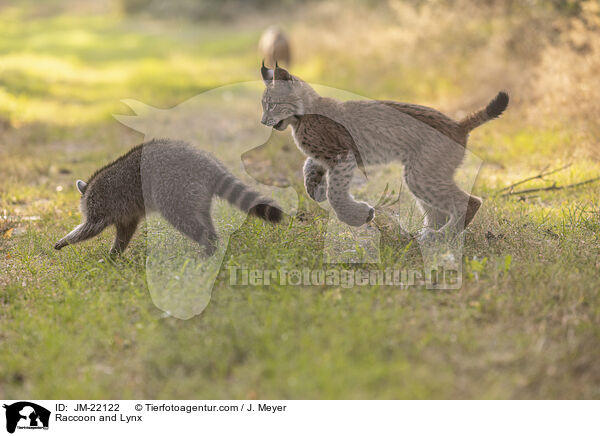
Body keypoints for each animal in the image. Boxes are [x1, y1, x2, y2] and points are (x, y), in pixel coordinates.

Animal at [54, 139, 284, 255]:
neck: (90, 188)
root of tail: (207, 164)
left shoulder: (101, 205)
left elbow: (91, 228)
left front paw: (67, 239)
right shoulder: (127, 215)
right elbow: (125, 232)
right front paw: (115, 253)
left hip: (174, 190)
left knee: (184, 220)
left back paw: (208, 245)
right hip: (195, 194)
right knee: (203, 216)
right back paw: (213, 242)